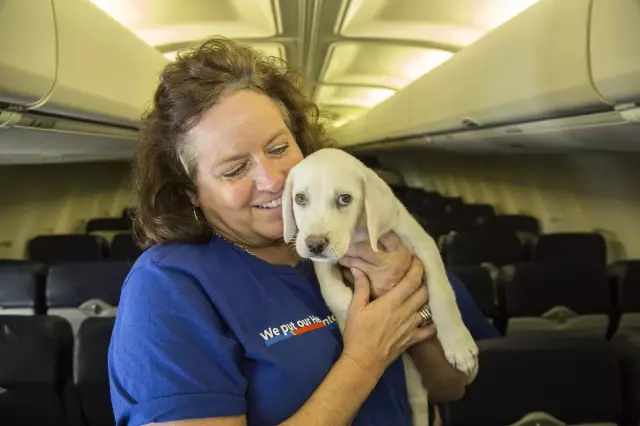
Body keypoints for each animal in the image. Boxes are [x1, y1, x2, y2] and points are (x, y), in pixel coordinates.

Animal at [282, 147, 478, 426]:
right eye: (300, 198)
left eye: (344, 199)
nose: (315, 245)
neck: (359, 235)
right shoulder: (325, 263)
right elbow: (332, 291)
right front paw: (348, 316)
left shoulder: (423, 245)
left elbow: (442, 293)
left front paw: (458, 344)